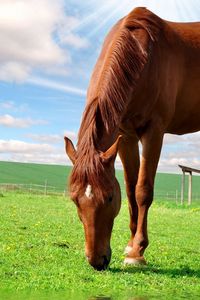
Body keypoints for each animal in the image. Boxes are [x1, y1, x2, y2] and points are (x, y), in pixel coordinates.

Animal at [64, 7, 200, 270]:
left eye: (108, 197)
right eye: (75, 199)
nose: (97, 261)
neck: (144, 56)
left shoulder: (154, 131)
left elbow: (142, 190)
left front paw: (137, 252)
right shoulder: (125, 135)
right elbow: (130, 189)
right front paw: (130, 245)